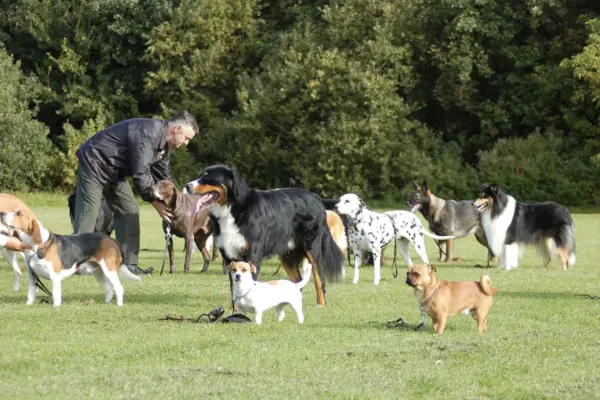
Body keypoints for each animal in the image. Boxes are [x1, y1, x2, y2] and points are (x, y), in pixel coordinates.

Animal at [1, 209, 139, 306]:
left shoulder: (55, 277)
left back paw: (119, 305)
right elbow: (30, 294)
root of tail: (112, 240)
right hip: (98, 272)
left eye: (18, 213)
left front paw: (56, 307)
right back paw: (106, 303)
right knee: (109, 288)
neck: (37, 247)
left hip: (109, 270)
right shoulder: (32, 277)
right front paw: (28, 305)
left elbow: (56, 295)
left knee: (119, 288)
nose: (2, 213)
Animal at [185, 165, 344, 306]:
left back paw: (321, 305)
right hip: (287, 254)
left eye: (207, 177)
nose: (187, 186)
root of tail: (315, 196)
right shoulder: (230, 256)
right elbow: (234, 289)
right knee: (298, 281)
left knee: (319, 278)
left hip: (312, 248)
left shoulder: (252, 255)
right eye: (200, 175)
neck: (232, 209)